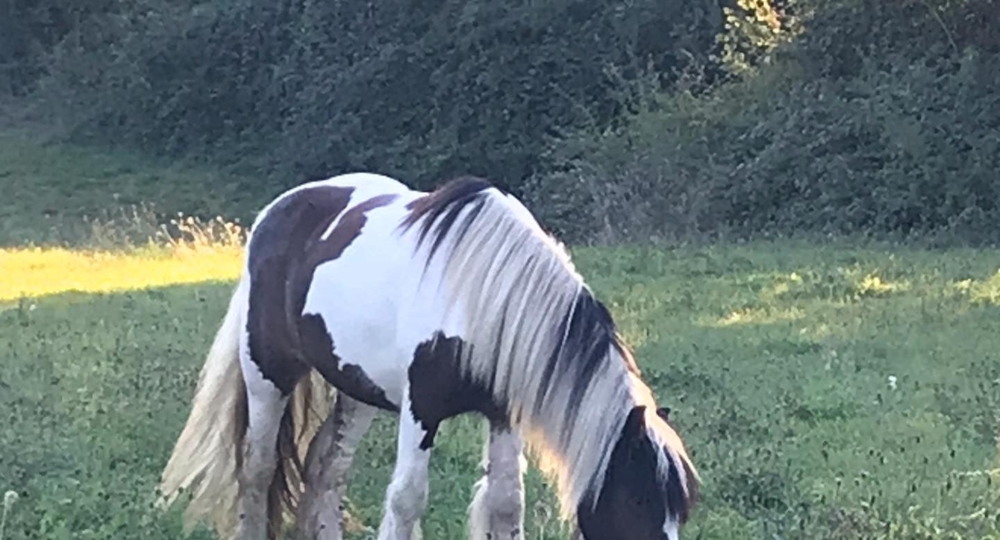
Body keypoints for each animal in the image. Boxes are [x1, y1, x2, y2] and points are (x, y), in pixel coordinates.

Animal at [160, 173, 700, 540]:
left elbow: (507, 502)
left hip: (358, 389)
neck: (485, 295)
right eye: (637, 499)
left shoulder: (502, 412)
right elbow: (407, 499)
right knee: (257, 469)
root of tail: (277, 211)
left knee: (325, 468)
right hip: (267, 370)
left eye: (681, 506)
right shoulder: (421, 409)